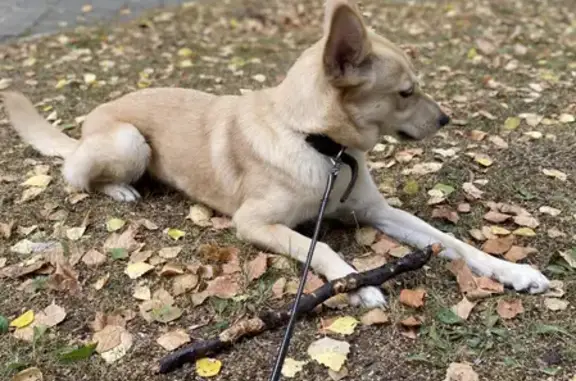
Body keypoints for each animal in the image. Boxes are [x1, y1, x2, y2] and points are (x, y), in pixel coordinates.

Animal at [0, 0, 548, 304]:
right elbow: (320, 247)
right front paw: (355, 284)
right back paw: (118, 190)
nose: (446, 120)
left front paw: (514, 271)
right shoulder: (254, 223)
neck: (320, 146)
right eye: (406, 92)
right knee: (75, 174)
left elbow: (451, 241)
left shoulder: (377, 210)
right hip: (128, 141)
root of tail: (91, 120)